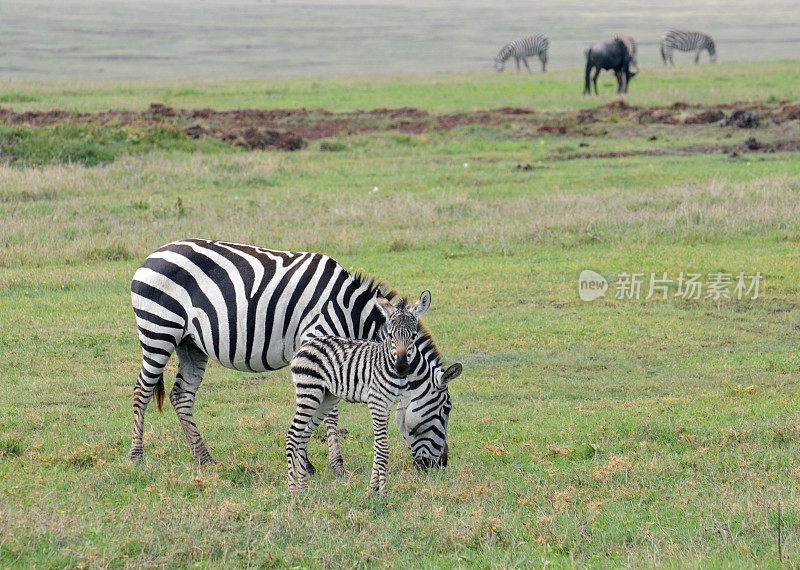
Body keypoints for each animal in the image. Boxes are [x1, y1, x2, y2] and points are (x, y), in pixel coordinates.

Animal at [127, 237, 460, 468]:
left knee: (181, 395)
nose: (440, 466)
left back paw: (204, 458)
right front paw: (333, 464)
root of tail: (152, 254)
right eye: (445, 409)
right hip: (159, 329)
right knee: (142, 390)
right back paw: (136, 457)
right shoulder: (320, 341)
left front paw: (309, 461)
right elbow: (330, 410)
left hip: (190, 344)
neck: (348, 310)